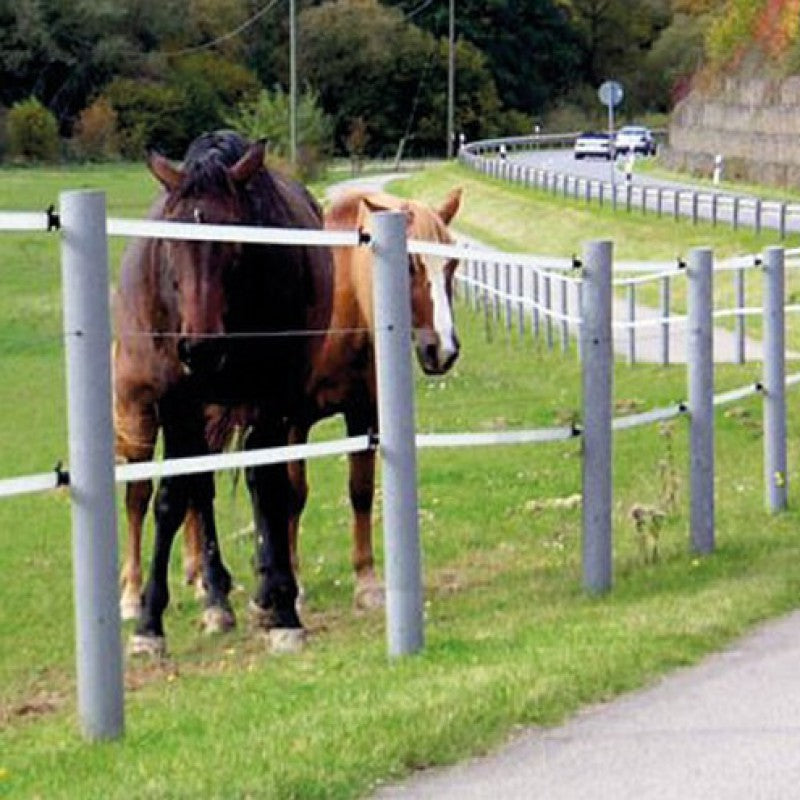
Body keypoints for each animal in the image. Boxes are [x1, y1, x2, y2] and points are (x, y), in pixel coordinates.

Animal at [112, 131, 332, 656]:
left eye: (235, 245)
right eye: (170, 243)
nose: (200, 348)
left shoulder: (272, 400)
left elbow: (269, 487)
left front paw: (283, 608)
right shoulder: (177, 401)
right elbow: (173, 497)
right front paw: (149, 623)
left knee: (251, 480)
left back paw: (261, 590)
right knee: (192, 488)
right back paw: (212, 597)